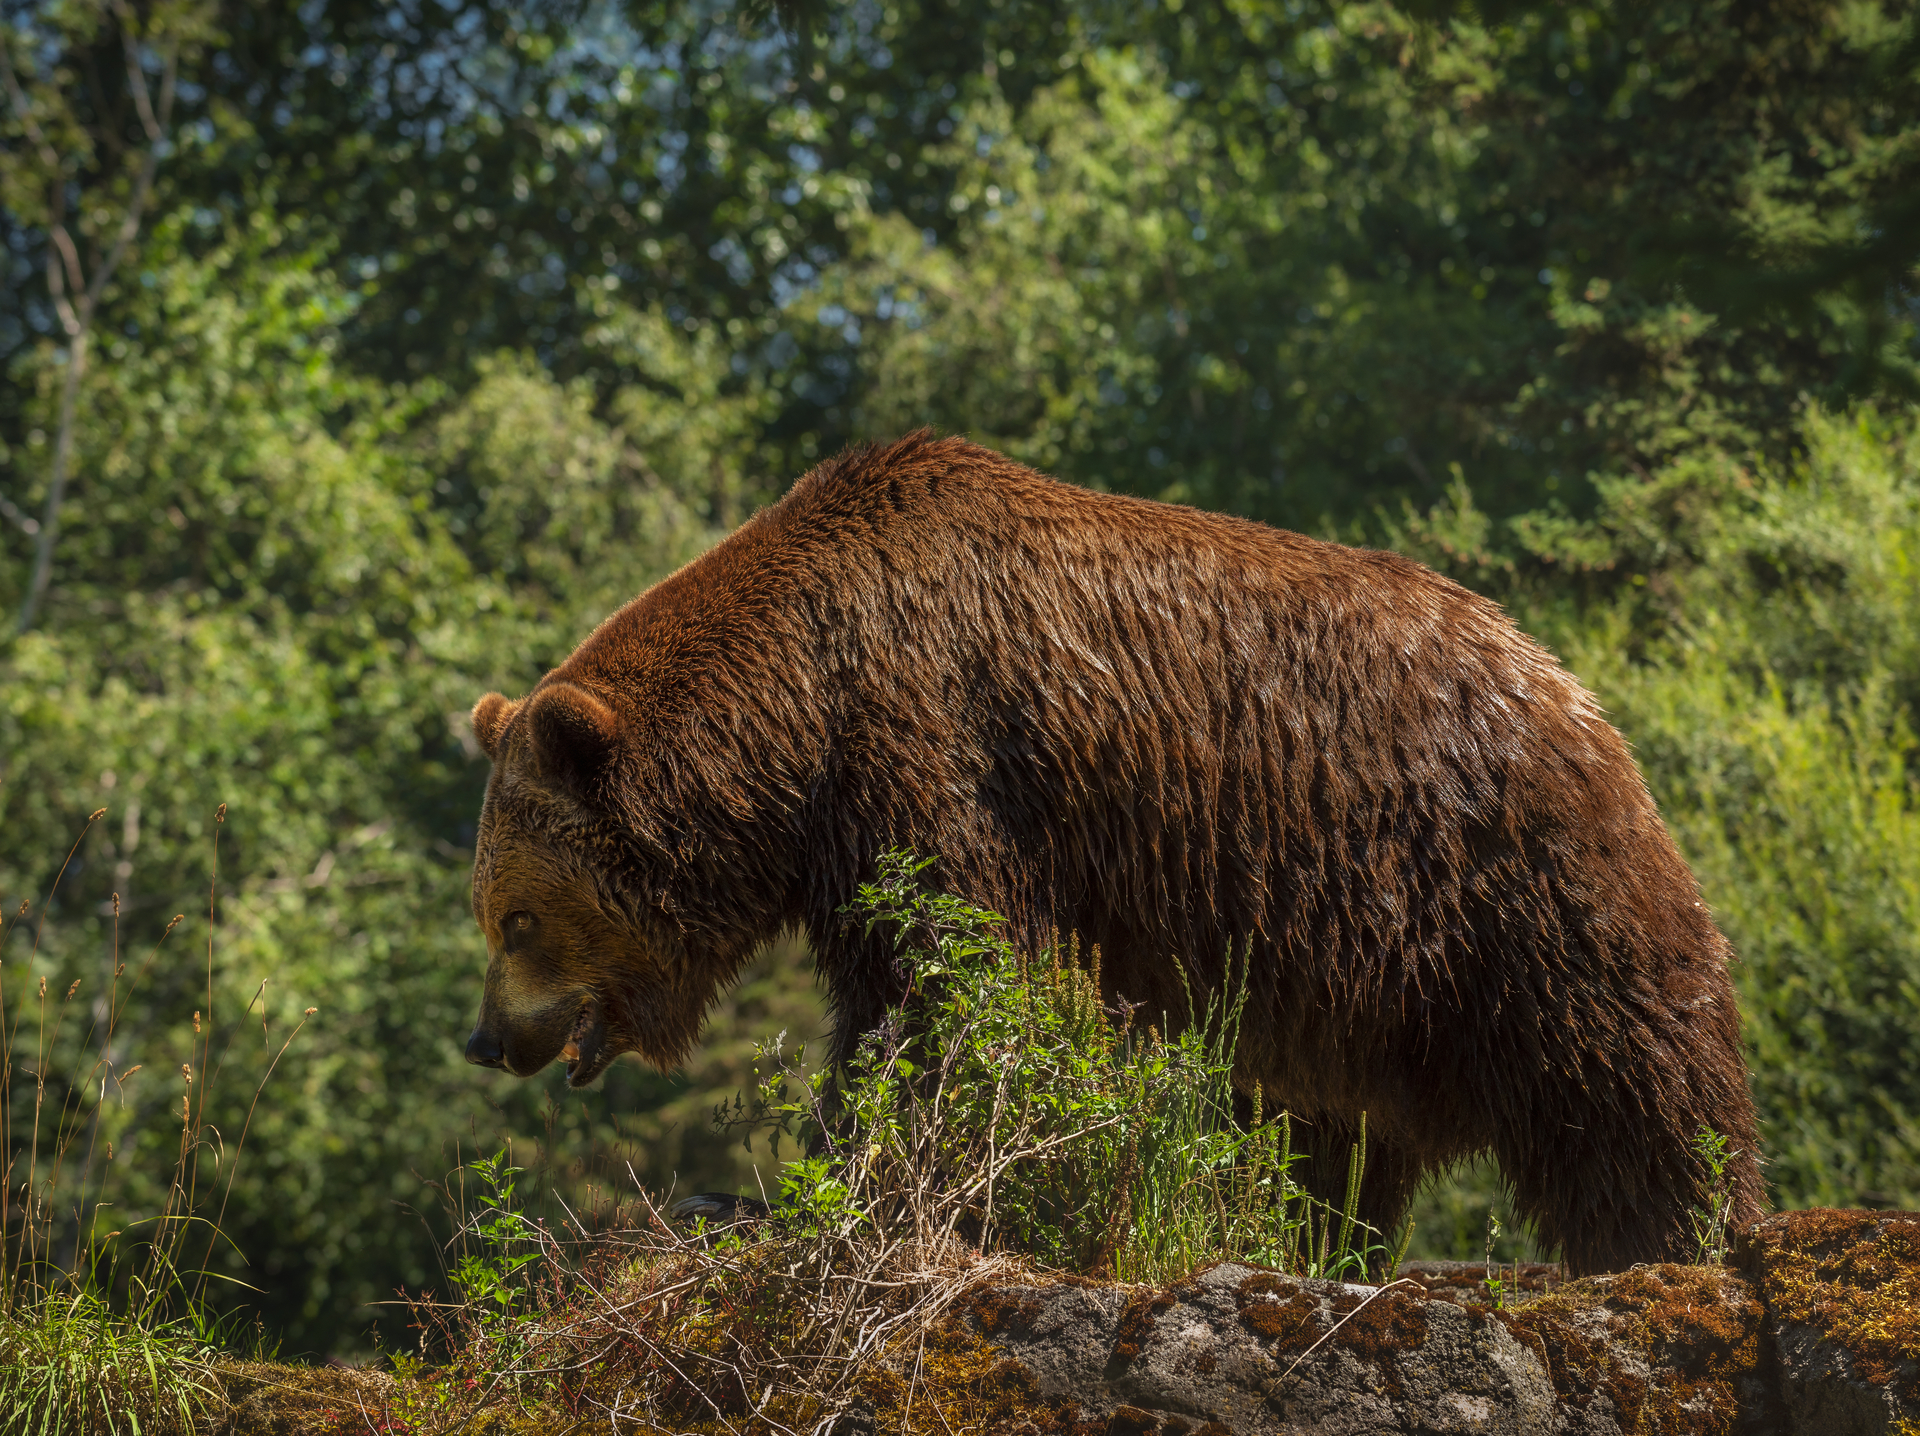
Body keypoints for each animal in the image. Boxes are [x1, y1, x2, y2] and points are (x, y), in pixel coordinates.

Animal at [468, 431, 1766, 1274]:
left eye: (515, 917)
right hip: (1348, 979)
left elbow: (950, 979)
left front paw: (851, 1179)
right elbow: (903, 988)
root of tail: (1570, 688)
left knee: (1627, 1074)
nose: (489, 1039)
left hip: (1501, 874)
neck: (802, 712)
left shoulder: (936, 749)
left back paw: (1688, 1234)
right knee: (1317, 1139)